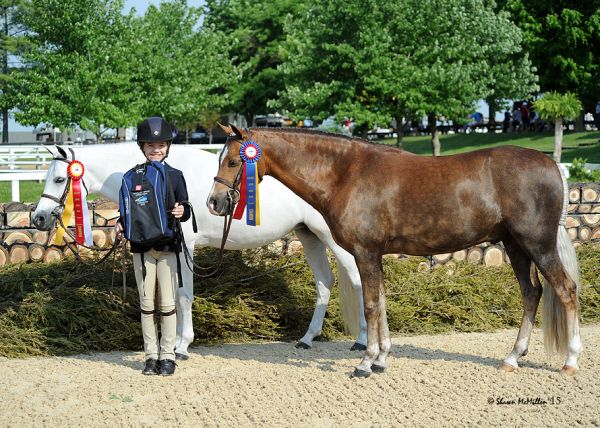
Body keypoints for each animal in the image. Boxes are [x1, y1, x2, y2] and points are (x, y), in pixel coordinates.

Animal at [210, 124, 580, 378]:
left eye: (234, 160)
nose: (214, 202)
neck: (346, 173)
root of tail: (553, 167)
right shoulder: (374, 255)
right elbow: (382, 302)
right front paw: (381, 360)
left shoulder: (365, 252)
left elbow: (372, 305)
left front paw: (364, 362)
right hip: (515, 246)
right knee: (532, 293)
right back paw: (512, 358)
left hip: (537, 244)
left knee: (566, 290)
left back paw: (571, 361)